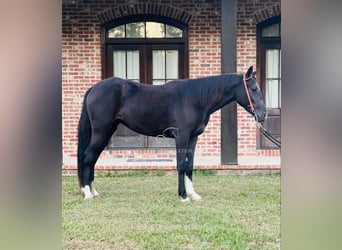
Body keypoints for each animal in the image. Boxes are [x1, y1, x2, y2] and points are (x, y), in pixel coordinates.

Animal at [78, 66, 268, 201]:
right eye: (253, 89)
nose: (263, 114)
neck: (195, 98)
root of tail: (94, 87)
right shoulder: (181, 137)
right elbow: (181, 165)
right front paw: (183, 196)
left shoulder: (193, 138)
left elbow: (190, 165)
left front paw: (193, 195)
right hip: (101, 131)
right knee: (88, 157)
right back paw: (87, 193)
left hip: (106, 132)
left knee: (92, 159)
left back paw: (93, 191)